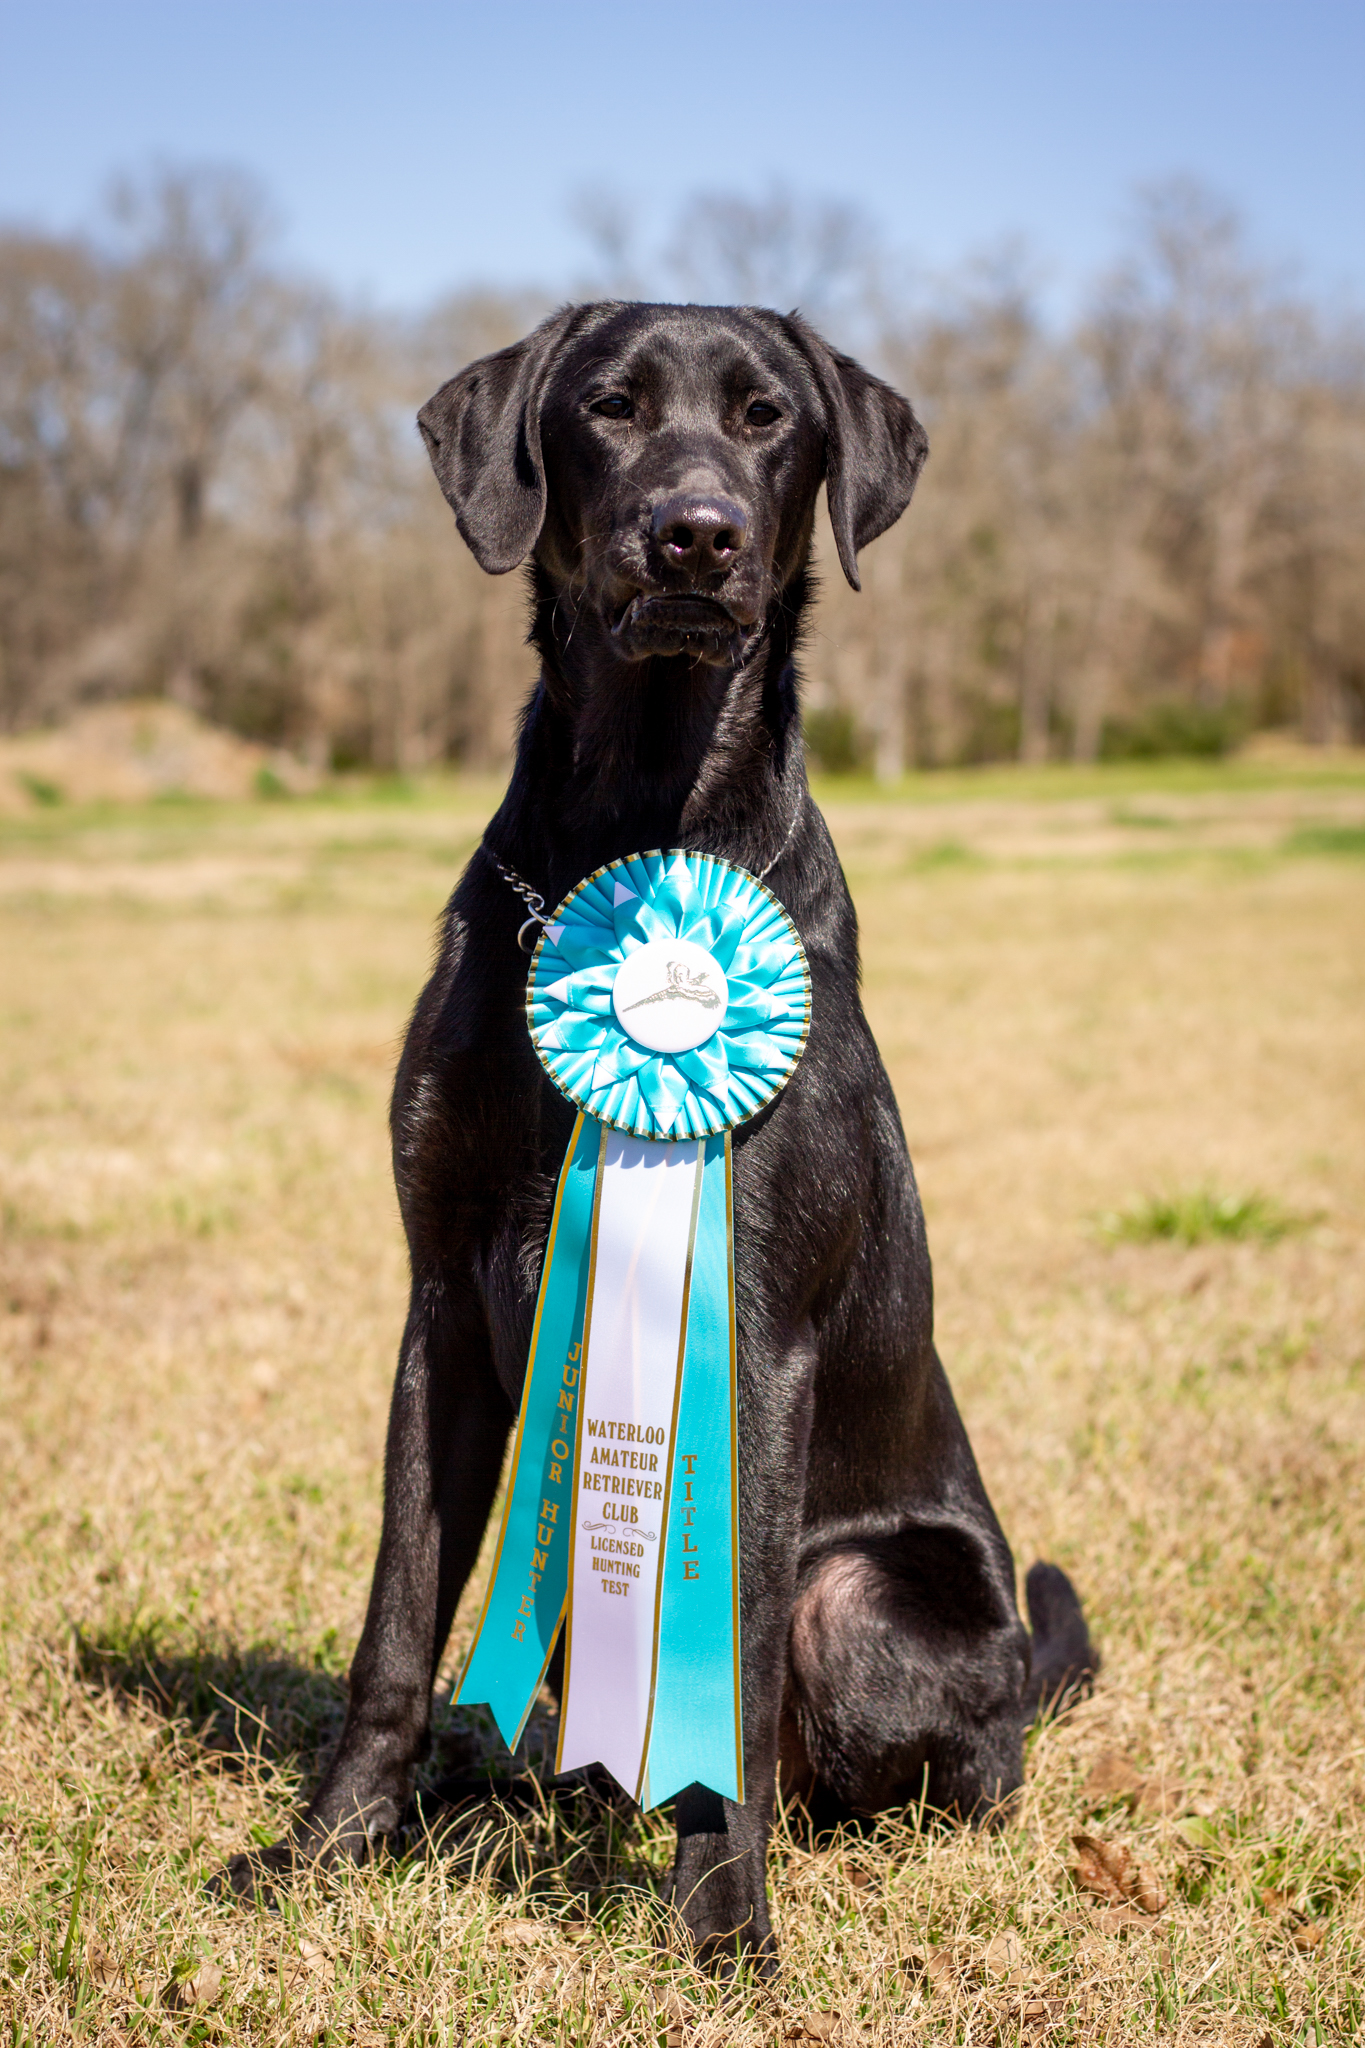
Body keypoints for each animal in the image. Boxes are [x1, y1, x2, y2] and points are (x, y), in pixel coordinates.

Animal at [229, 299, 1096, 1966]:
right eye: (610, 410)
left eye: (768, 420)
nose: (694, 534)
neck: (633, 836)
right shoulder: (441, 1295)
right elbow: (396, 1623)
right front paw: (325, 1853)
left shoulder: (752, 1336)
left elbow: (731, 1692)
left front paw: (724, 1930)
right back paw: (482, 1800)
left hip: (867, 1602)